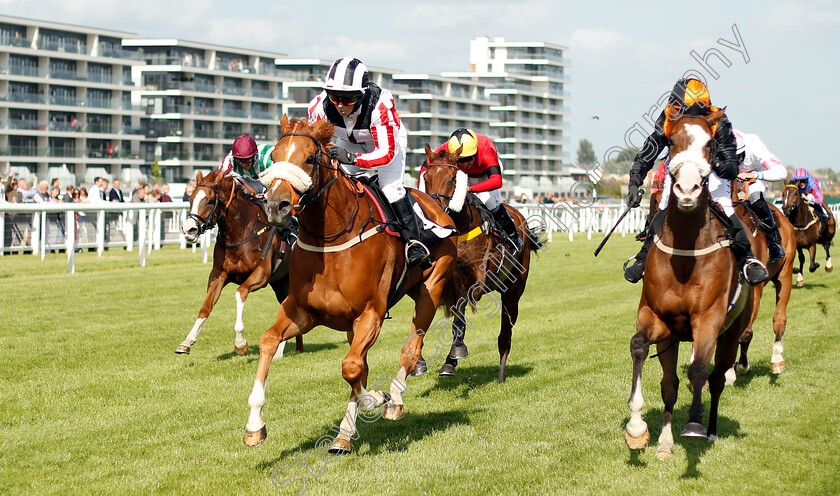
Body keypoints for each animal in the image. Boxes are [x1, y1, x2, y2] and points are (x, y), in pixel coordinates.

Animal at [177, 170, 302, 356]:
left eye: (210, 200)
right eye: (191, 199)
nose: (189, 230)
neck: (240, 233)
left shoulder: (261, 274)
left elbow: (240, 293)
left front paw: (240, 343)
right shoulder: (218, 275)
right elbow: (206, 306)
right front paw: (187, 341)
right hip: (281, 281)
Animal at [243, 117, 466, 454]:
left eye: (310, 158)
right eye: (275, 156)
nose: (275, 206)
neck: (331, 240)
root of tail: (435, 206)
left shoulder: (370, 314)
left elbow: (351, 367)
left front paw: (376, 399)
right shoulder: (302, 311)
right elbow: (269, 340)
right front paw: (254, 425)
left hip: (431, 289)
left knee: (410, 349)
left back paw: (393, 400)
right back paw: (343, 437)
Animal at [418, 143, 540, 384]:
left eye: (453, 178)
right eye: (426, 177)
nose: (434, 211)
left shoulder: (478, 283)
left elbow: (460, 309)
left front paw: (456, 351)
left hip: (513, 292)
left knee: (505, 334)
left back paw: (501, 374)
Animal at [624, 110, 756, 460]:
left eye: (710, 144)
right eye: (670, 142)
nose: (686, 188)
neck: (685, 252)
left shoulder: (708, 319)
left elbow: (698, 369)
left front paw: (695, 423)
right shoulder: (657, 317)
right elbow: (639, 346)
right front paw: (637, 427)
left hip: (732, 332)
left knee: (717, 377)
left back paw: (710, 430)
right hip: (671, 339)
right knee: (669, 385)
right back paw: (665, 442)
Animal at [728, 180, 796, 378]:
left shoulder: (754, 289)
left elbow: (745, 332)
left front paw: (739, 367)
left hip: (785, 274)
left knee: (779, 319)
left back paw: (777, 360)